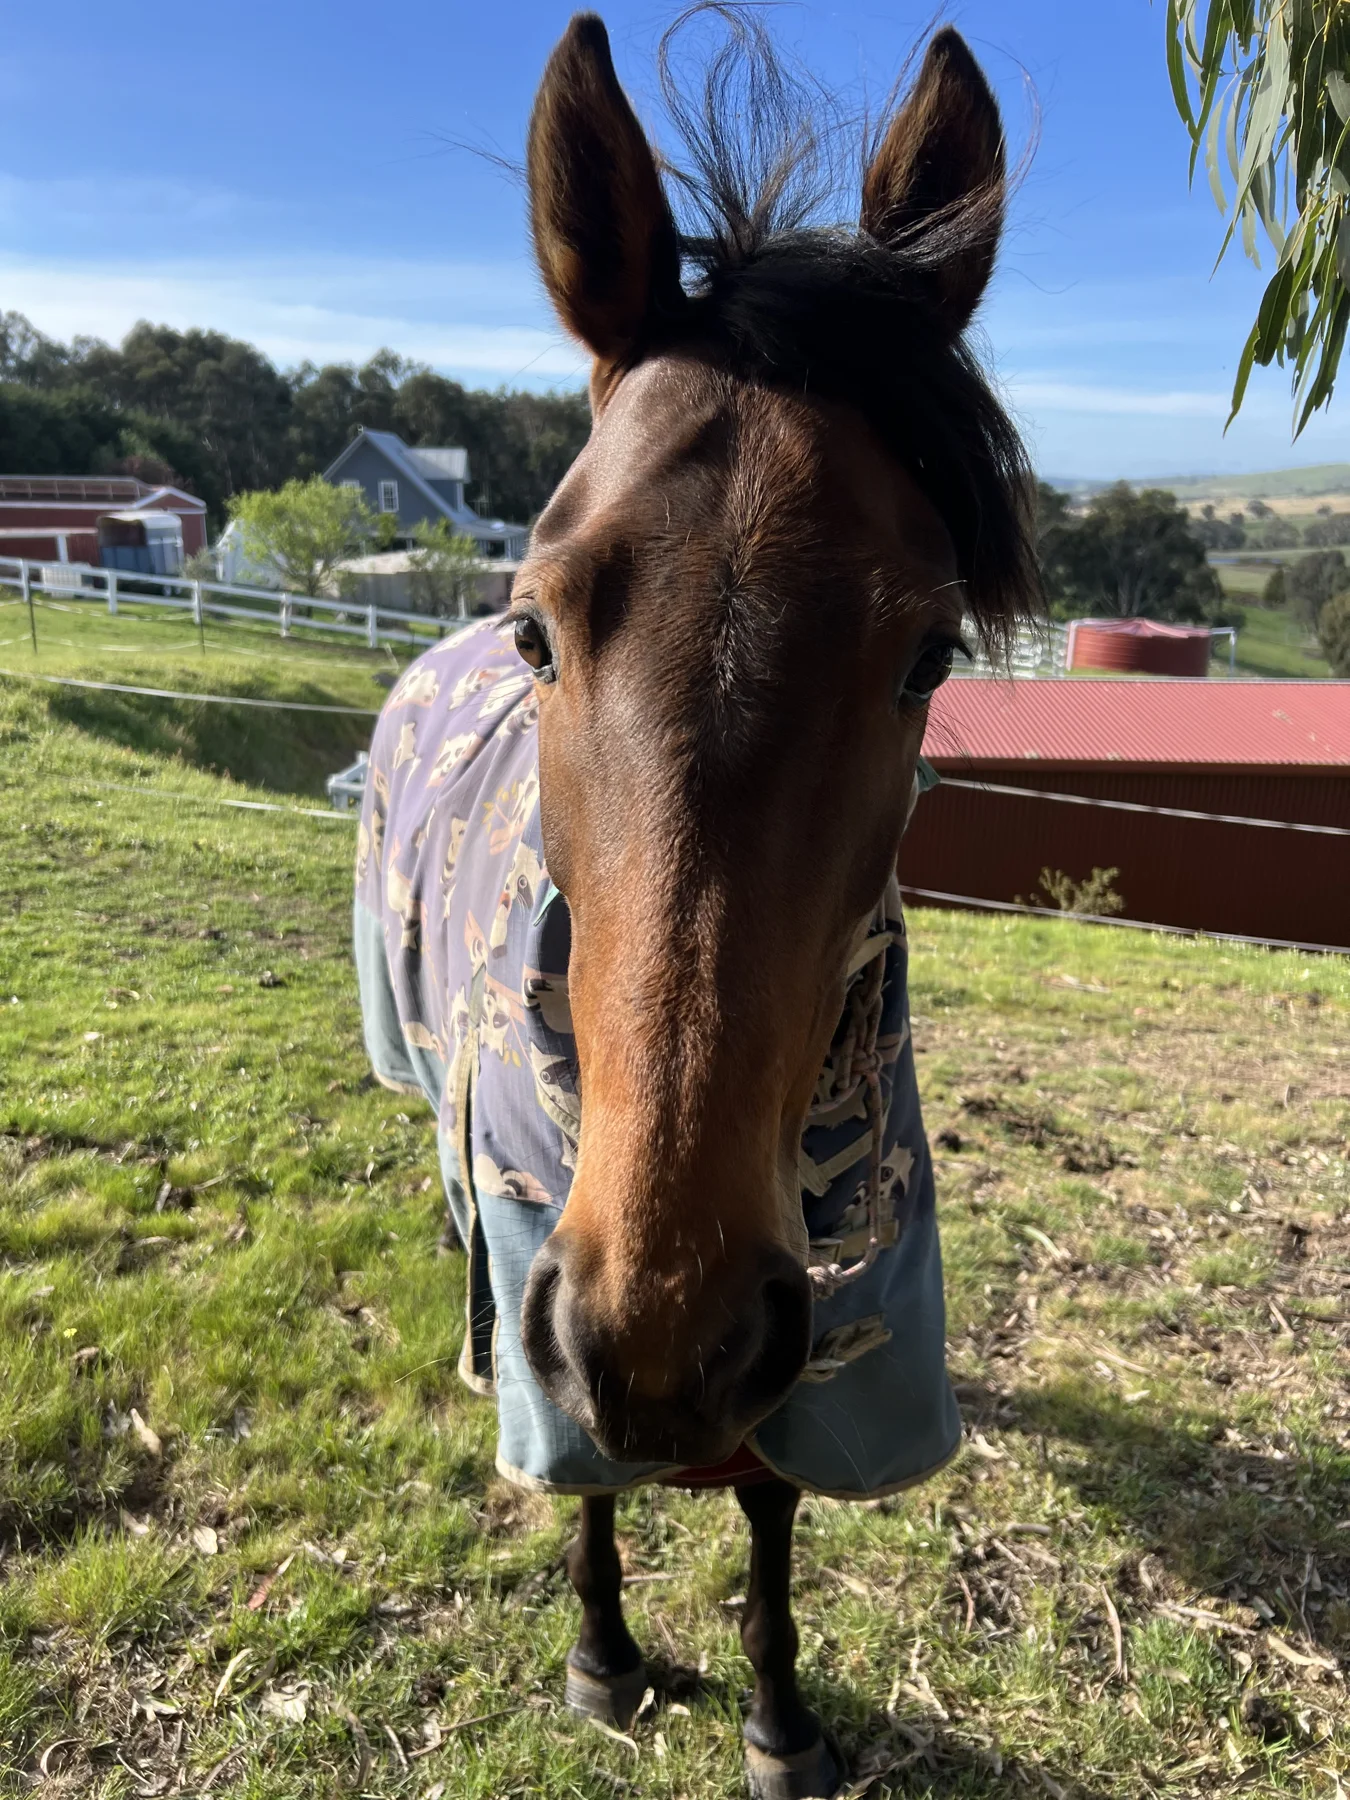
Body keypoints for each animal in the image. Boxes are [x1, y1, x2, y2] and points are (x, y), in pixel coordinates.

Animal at [355, 12, 1037, 1795]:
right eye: (538, 625)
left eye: (926, 655)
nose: (664, 1344)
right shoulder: (555, 1269)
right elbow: (581, 1473)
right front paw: (604, 1657)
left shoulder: (827, 1308)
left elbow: (773, 1507)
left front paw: (780, 1718)